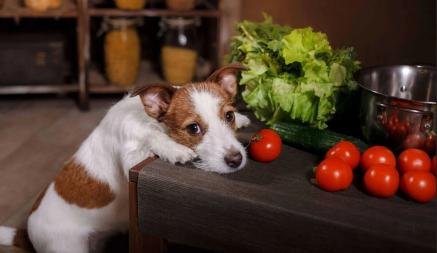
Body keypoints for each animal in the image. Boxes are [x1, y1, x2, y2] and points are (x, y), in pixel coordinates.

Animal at [0, 63, 249, 253]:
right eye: (194, 128)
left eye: (229, 115)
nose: (236, 160)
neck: (147, 119)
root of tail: (27, 233)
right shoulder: (131, 157)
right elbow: (150, 137)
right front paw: (173, 149)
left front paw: (243, 119)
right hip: (68, 247)